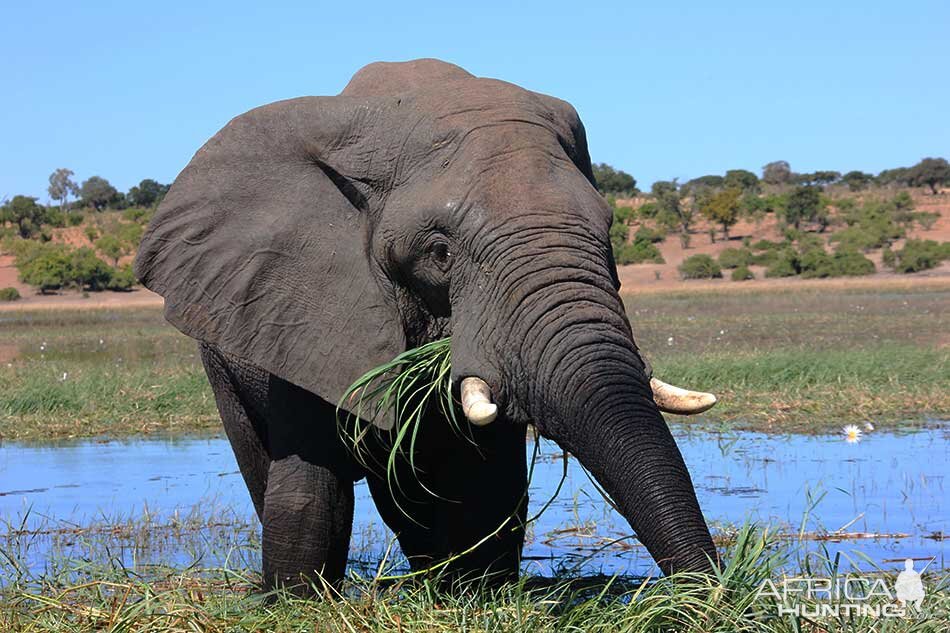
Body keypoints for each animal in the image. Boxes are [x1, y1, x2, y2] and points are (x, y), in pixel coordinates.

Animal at [130, 58, 716, 592]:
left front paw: (476, 594)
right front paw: (295, 604)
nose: (712, 597)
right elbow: (311, 486)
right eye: (439, 252)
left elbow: (488, 484)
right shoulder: (303, 307)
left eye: (609, 231)